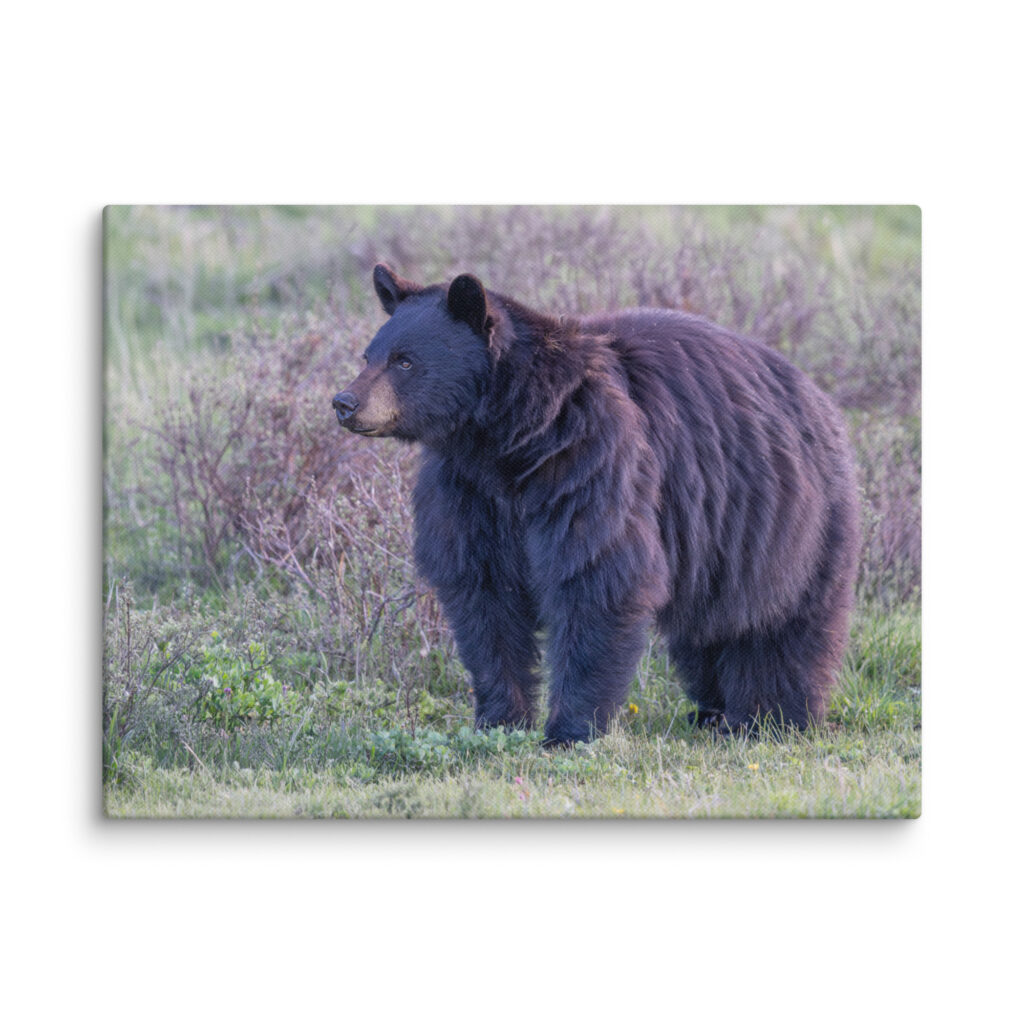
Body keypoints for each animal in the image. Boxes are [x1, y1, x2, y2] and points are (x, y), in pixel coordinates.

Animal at [333, 263, 860, 746]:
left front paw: (569, 730)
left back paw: (771, 716)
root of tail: (818, 396)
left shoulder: (590, 461)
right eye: (368, 354)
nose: (345, 402)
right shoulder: (468, 492)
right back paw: (712, 711)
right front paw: (499, 720)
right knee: (708, 629)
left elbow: (596, 576)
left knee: (782, 623)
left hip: (788, 520)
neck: (509, 439)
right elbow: (483, 595)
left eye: (404, 361)